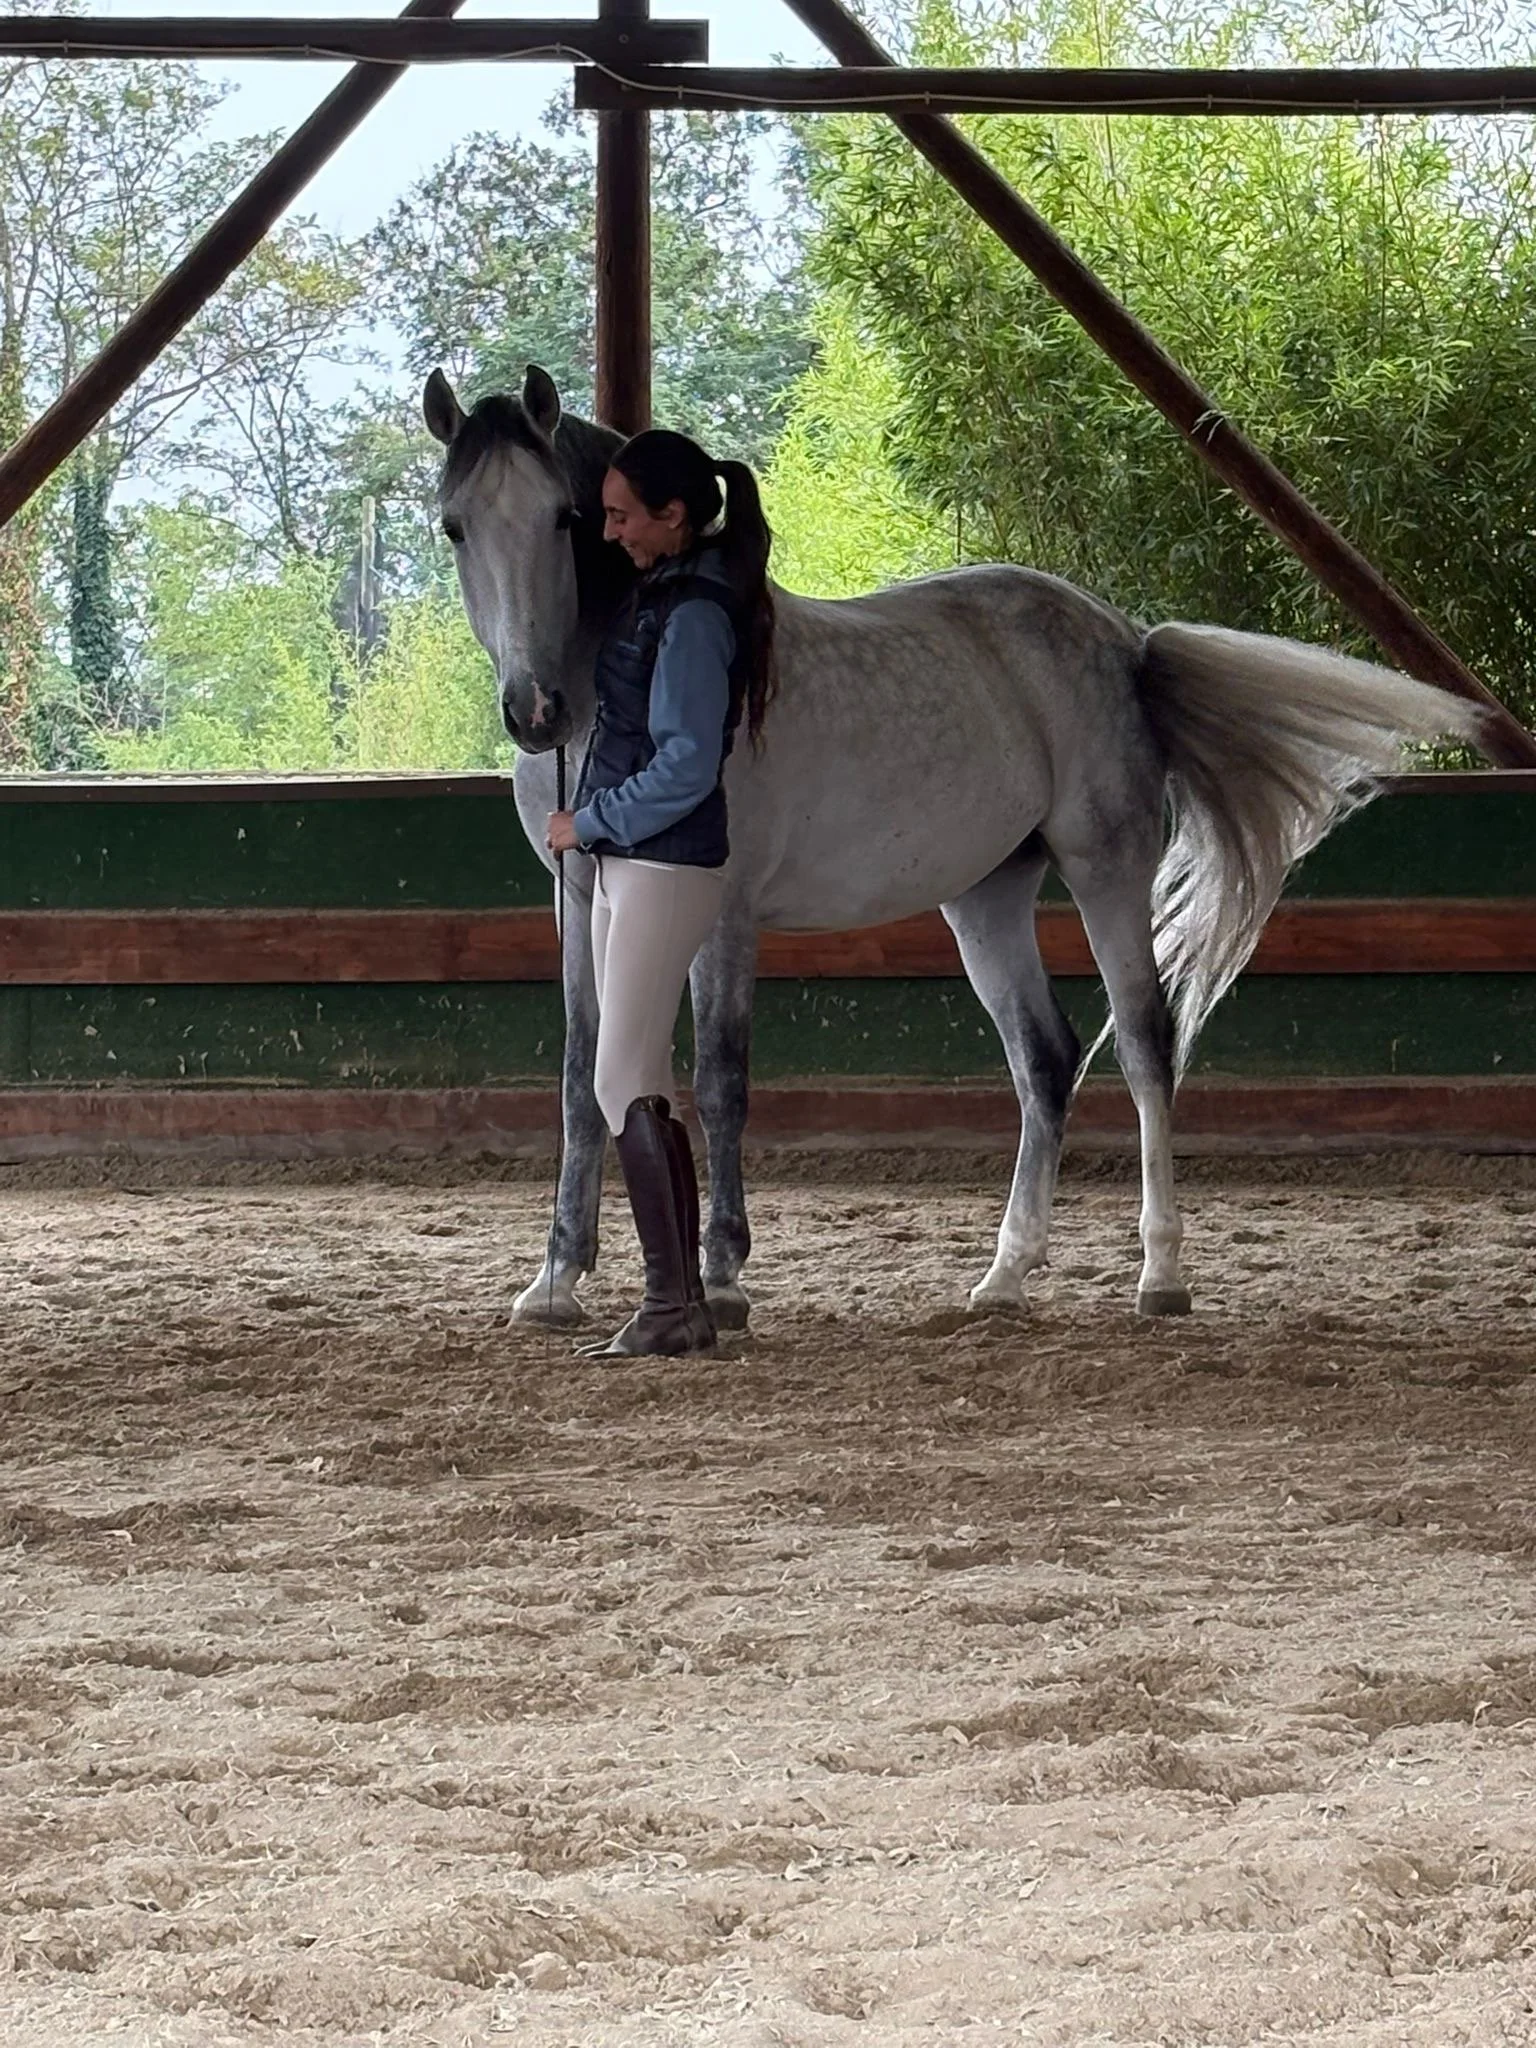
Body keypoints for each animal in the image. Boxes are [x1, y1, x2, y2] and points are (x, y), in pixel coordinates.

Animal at [425, 364, 1483, 1330]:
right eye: (455, 527)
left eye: (566, 518)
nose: (531, 710)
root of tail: (1124, 641)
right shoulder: (581, 904)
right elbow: (582, 1079)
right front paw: (554, 1282)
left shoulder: (720, 913)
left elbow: (721, 1083)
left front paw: (723, 1276)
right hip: (985, 896)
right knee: (1045, 1060)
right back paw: (1005, 1278)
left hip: (1105, 870)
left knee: (1146, 1048)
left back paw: (1160, 1275)